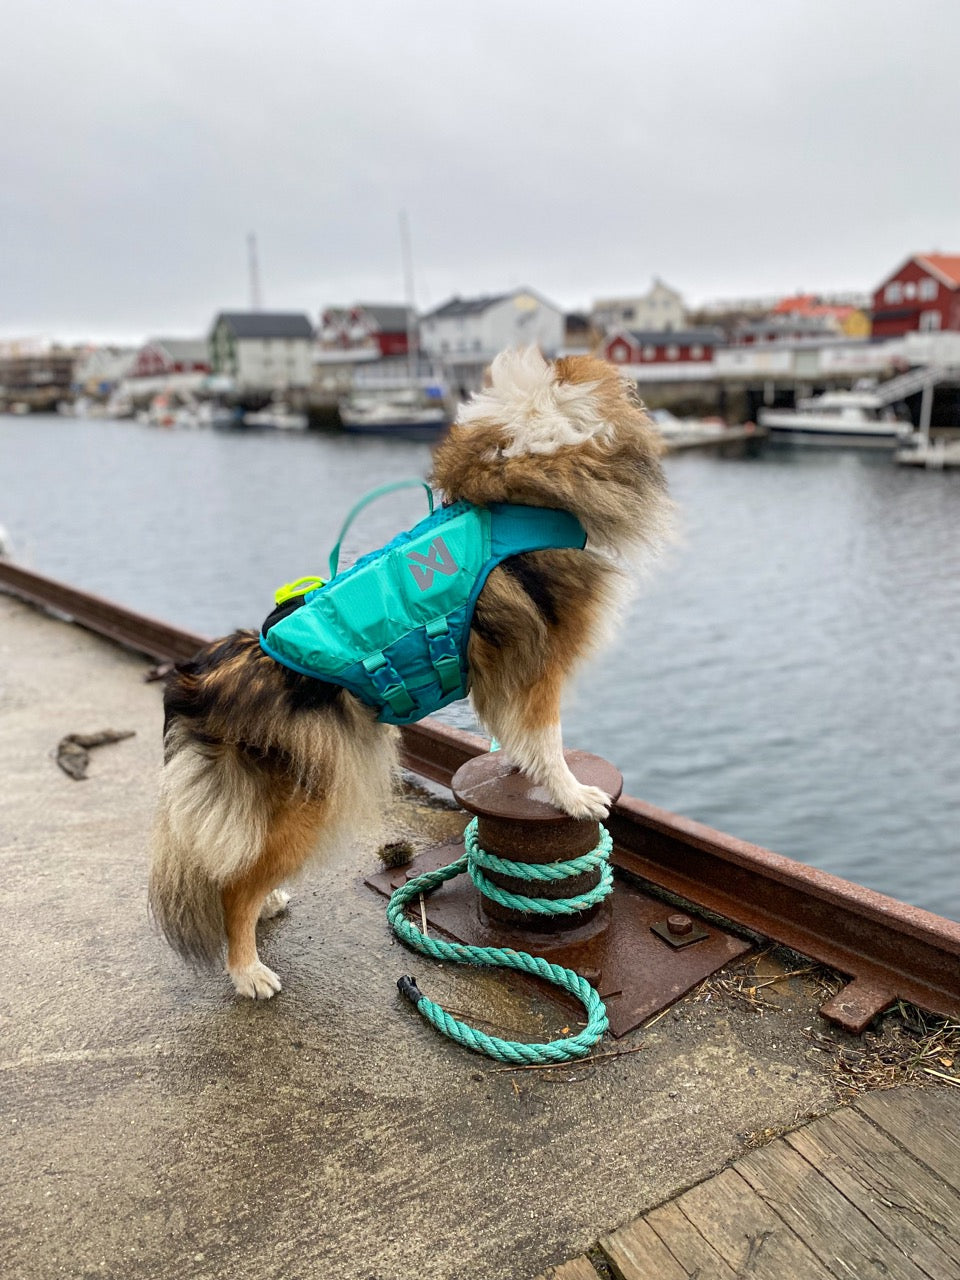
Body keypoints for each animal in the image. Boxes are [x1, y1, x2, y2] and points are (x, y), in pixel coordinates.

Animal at [152, 350, 675, 998]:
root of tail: (205, 680)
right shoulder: (540, 665)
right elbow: (550, 741)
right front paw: (574, 797)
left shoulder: (502, 671)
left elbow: (516, 734)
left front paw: (518, 767)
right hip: (312, 796)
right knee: (234, 883)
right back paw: (248, 969)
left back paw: (267, 905)